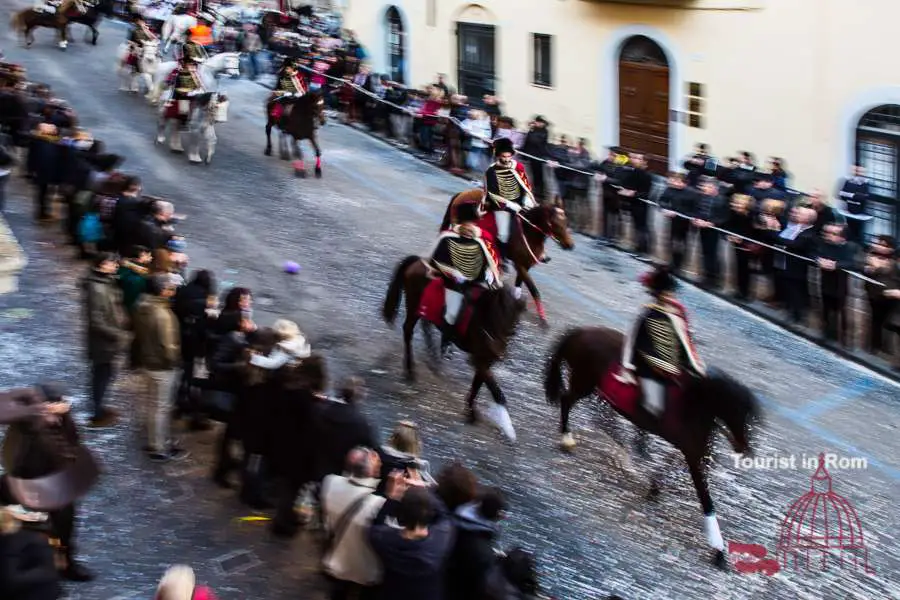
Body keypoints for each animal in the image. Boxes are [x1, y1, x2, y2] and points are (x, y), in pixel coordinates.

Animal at [382, 253, 524, 440]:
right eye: (498, 312)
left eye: (514, 320)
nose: (498, 350)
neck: (485, 317)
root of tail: (418, 261)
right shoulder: (479, 359)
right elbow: (497, 392)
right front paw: (508, 429)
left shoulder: (486, 359)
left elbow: (478, 384)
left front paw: (470, 411)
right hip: (413, 307)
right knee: (408, 332)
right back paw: (411, 370)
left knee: (426, 327)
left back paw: (433, 359)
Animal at [442, 191, 576, 324]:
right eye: (555, 223)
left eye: (566, 222)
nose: (570, 245)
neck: (528, 232)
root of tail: (462, 194)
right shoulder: (519, 264)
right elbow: (534, 290)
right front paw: (542, 318)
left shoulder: (526, 264)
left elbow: (519, 284)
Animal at [540, 326, 760, 568]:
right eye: (735, 410)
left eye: (749, 416)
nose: (743, 447)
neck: (696, 406)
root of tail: (581, 331)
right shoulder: (692, 455)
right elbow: (706, 500)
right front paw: (718, 551)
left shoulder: (697, 453)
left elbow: (674, 467)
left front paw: (655, 484)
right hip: (583, 382)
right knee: (568, 401)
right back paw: (569, 439)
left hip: (596, 389)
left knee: (601, 417)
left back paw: (628, 451)